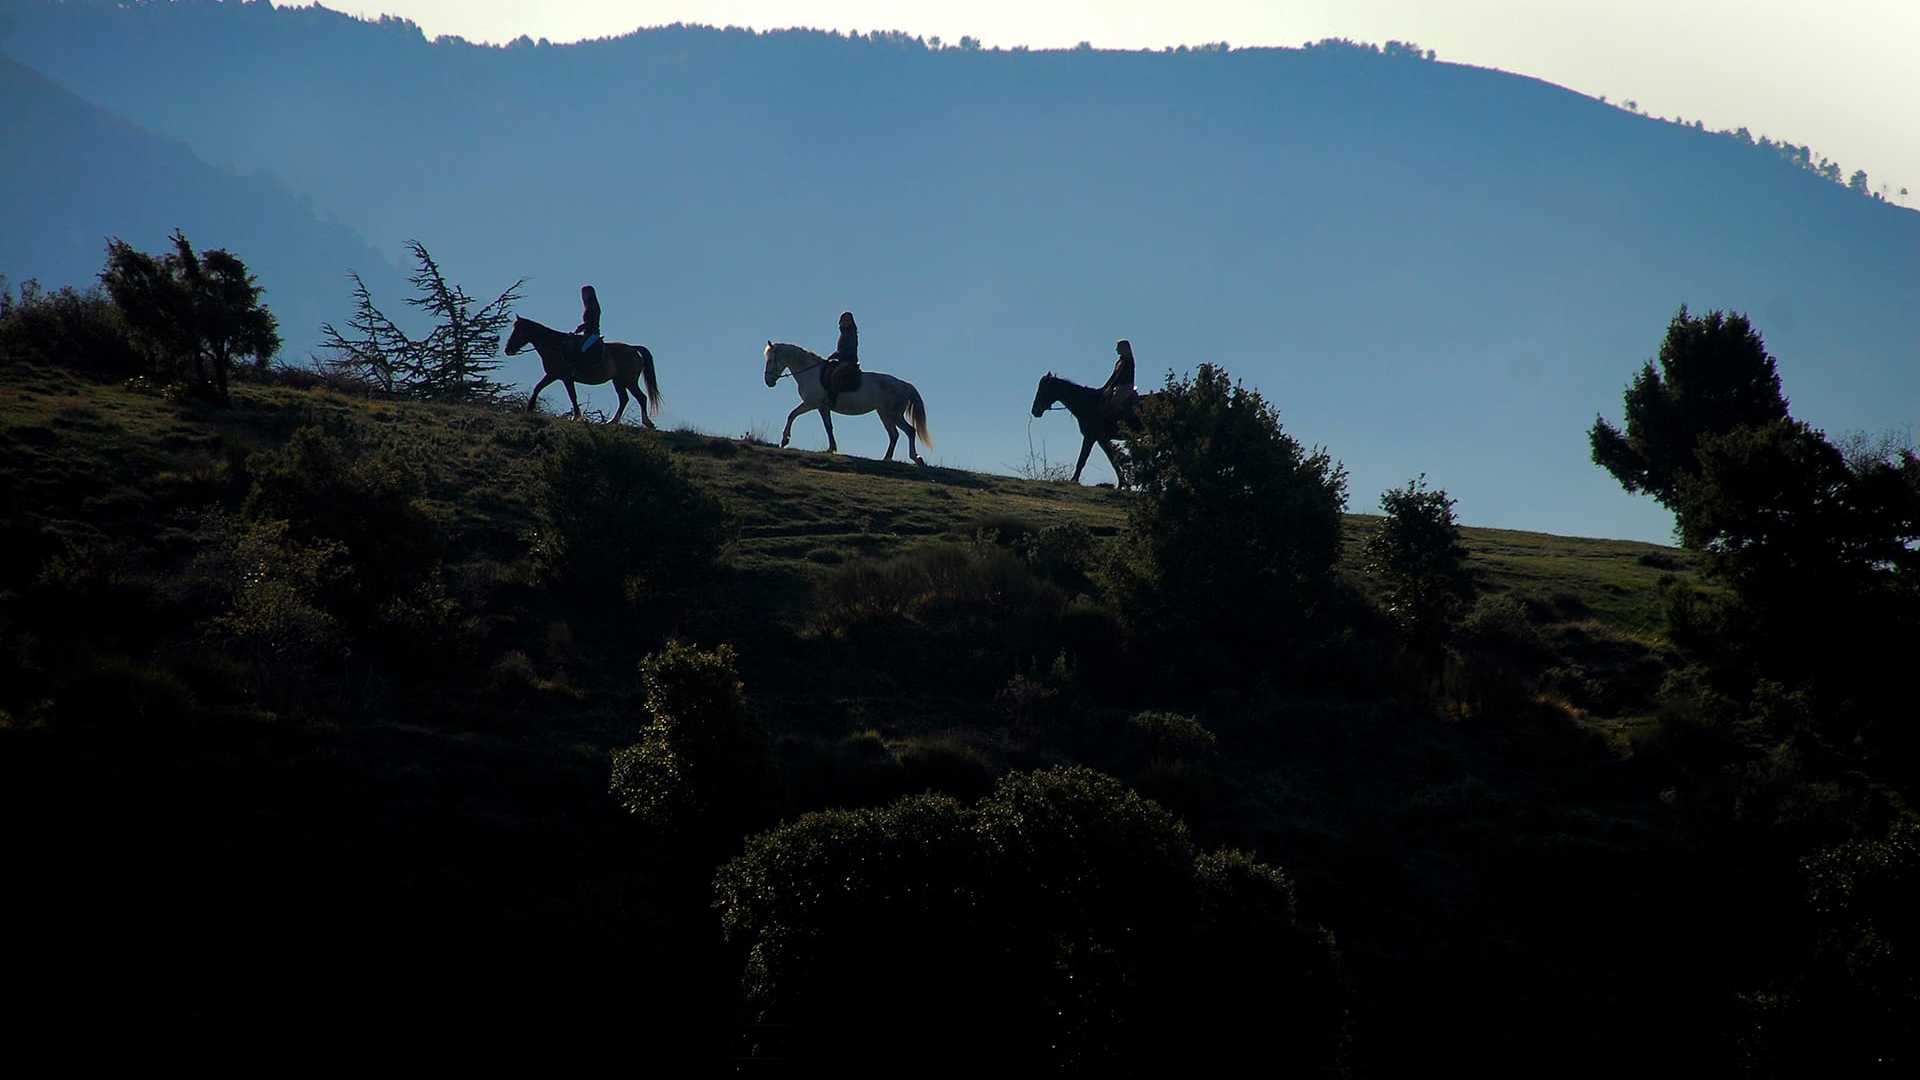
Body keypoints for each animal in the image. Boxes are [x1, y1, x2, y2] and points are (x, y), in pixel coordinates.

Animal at [503, 311, 660, 424]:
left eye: (519, 331)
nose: (508, 350)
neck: (555, 346)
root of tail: (633, 349)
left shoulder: (558, 376)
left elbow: (565, 394)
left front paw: (576, 417)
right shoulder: (560, 377)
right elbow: (548, 390)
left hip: (628, 381)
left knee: (641, 397)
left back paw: (646, 422)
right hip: (618, 381)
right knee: (624, 399)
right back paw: (613, 421)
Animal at [760, 340, 933, 463]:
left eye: (771, 360)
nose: (768, 382)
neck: (811, 372)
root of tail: (903, 384)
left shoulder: (816, 405)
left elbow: (823, 425)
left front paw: (830, 448)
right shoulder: (816, 406)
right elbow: (796, 416)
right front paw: (785, 440)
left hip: (892, 414)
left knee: (909, 431)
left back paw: (915, 458)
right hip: (884, 414)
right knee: (895, 435)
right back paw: (888, 458)